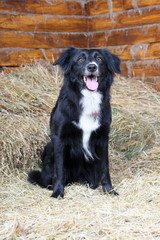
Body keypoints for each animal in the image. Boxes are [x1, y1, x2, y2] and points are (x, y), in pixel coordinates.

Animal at [28, 46, 120, 198]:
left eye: (99, 59)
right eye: (80, 59)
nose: (92, 67)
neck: (89, 97)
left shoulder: (103, 138)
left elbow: (105, 168)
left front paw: (109, 190)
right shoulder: (59, 138)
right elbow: (59, 169)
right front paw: (58, 192)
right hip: (49, 148)